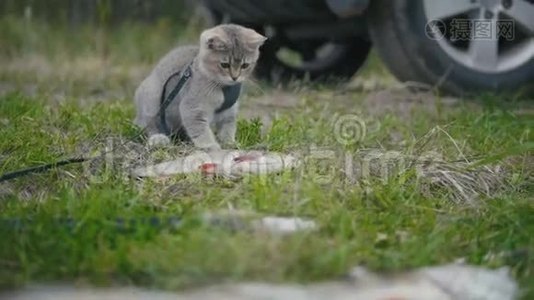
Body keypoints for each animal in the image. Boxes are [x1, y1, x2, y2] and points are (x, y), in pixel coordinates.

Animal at [135, 24, 266, 149]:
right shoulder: (192, 107)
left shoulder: (229, 110)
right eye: (224, 65)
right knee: (151, 125)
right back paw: (158, 138)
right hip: (152, 99)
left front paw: (229, 142)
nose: (235, 77)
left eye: (245, 65)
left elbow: (228, 127)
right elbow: (199, 128)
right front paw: (209, 144)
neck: (223, 87)